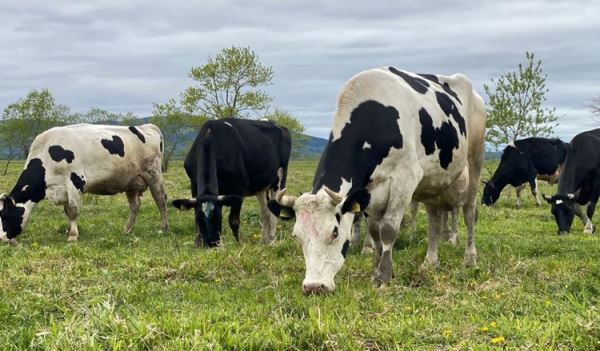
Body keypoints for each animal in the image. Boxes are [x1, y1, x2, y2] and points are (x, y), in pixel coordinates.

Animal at [0, 122, 169, 243]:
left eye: (4, 215)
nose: (2, 239)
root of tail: (146, 127)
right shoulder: (63, 189)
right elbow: (67, 210)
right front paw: (68, 230)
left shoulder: (75, 181)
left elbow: (73, 209)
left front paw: (73, 236)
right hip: (131, 182)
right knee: (135, 206)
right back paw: (127, 230)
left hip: (153, 174)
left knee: (161, 199)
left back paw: (163, 228)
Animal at [170, 117, 292, 248]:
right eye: (200, 218)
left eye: (218, 216)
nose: (212, 244)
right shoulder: (194, 185)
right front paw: (198, 243)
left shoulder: (238, 189)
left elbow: (234, 220)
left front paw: (237, 243)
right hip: (260, 186)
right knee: (266, 212)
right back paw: (264, 240)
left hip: (279, 179)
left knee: (274, 211)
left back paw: (272, 240)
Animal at [270, 66, 486, 294]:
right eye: (297, 236)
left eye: (335, 233)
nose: (314, 286)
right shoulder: (368, 191)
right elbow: (374, 230)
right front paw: (376, 267)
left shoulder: (406, 178)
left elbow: (388, 229)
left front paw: (384, 275)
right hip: (433, 181)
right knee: (434, 222)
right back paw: (430, 262)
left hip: (475, 159)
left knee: (469, 213)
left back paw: (470, 258)